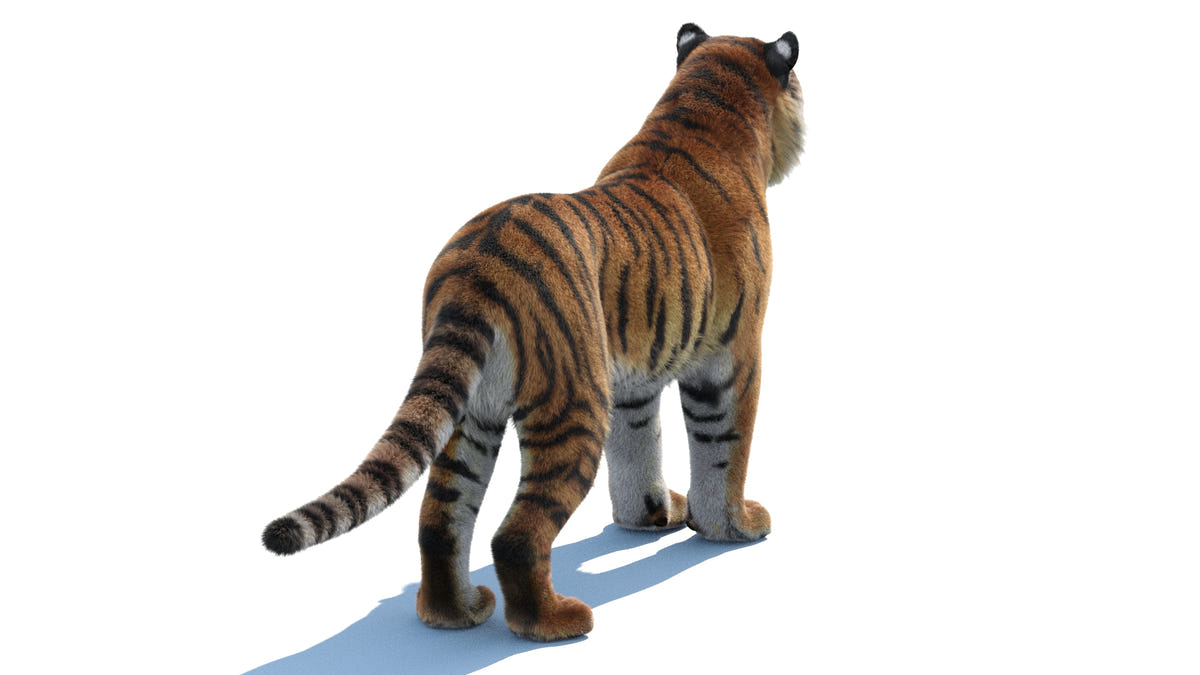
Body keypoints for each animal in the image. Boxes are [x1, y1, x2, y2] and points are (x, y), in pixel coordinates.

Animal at [262, 23, 805, 642]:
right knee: (516, 535)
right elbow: (724, 450)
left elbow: (638, 447)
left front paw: (650, 517)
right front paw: (732, 527)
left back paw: (455, 612)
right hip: (572, 406)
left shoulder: (633, 380)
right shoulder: (731, 358)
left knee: (439, 518)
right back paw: (554, 621)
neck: (703, 107)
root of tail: (478, 267)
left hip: (469, 414)